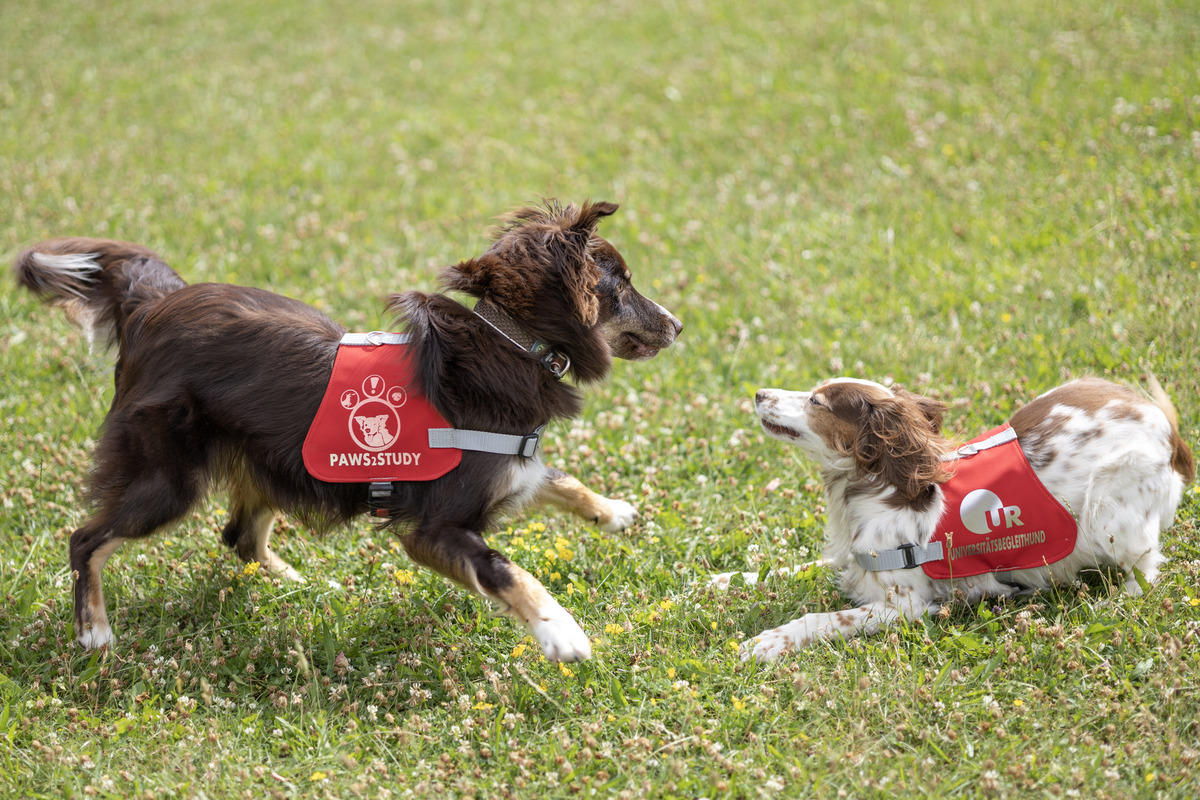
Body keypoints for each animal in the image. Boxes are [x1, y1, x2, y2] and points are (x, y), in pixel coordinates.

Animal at [14, 200, 681, 662]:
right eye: (620, 284)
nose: (678, 325)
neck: (511, 343)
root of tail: (154, 305)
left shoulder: (512, 468)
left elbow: (558, 479)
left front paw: (612, 512)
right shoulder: (434, 527)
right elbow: (506, 569)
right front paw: (560, 633)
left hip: (270, 459)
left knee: (240, 538)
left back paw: (309, 586)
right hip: (167, 479)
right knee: (86, 539)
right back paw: (96, 633)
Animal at [724, 379, 1195, 662]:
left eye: (816, 400)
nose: (758, 393)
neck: (876, 486)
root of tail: (1169, 429)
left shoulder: (907, 604)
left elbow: (823, 619)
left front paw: (768, 641)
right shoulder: (855, 559)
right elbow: (792, 566)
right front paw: (719, 580)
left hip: (1109, 512)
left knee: (1147, 567)